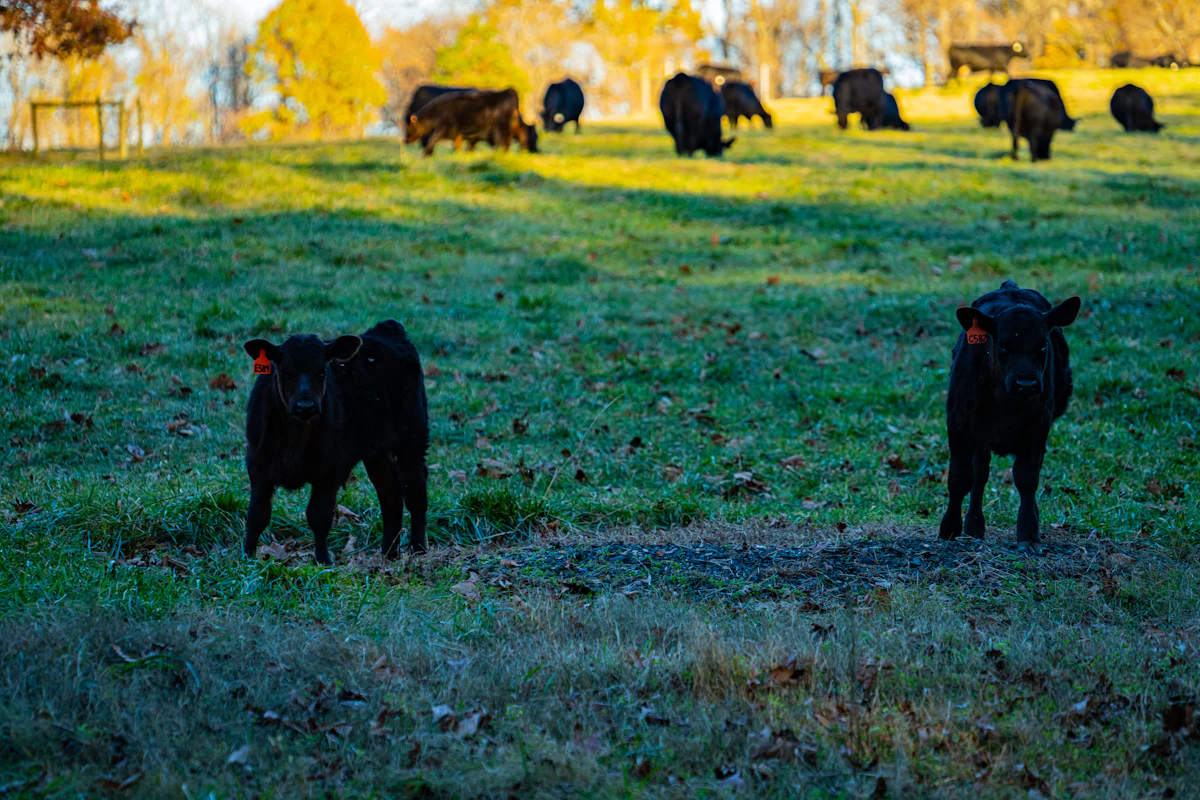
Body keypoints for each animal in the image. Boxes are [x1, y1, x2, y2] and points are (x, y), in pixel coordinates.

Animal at [242, 320, 430, 566]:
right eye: (285, 372)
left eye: (322, 371)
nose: (305, 406)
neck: (294, 439)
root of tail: (387, 329)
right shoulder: (258, 465)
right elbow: (257, 514)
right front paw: (246, 557)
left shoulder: (329, 468)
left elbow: (318, 516)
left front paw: (323, 561)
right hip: (376, 451)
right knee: (391, 495)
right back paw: (388, 554)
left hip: (413, 436)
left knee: (415, 488)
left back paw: (418, 548)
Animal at [405, 89, 537, 156]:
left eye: (409, 126)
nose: (405, 140)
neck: (436, 112)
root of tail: (508, 92)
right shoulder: (458, 134)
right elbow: (457, 146)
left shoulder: (443, 129)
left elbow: (431, 140)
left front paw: (426, 154)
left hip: (501, 129)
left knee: (504, 142)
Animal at [939, 281, 1081, 555]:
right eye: (1003, 345)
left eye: (1043, 345)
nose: (1026, 384)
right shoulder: (959, 424)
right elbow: (960, 478)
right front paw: (949, 528)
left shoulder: (1039, 425)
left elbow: (1027, 477)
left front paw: (1029, 532)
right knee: (980, 473)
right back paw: (974, 525)